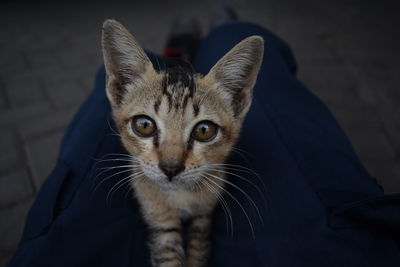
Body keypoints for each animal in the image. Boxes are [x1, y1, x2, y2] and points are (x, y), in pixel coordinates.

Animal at [101, 19, 264, 267]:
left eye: (204, 130)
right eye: (144, 125)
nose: (170, 168)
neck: (181, 196)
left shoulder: (203, 217)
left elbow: (198, 251)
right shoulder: (159, 222)